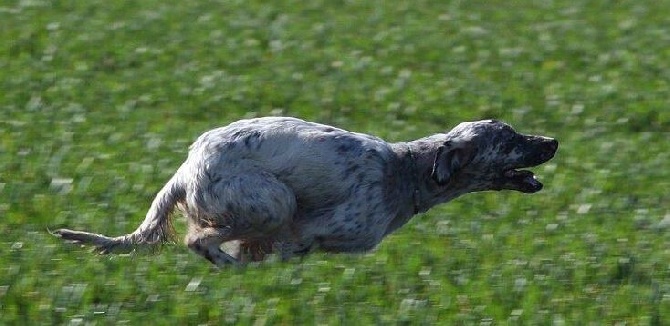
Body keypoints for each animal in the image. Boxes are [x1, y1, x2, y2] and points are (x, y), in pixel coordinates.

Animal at [52, 118, 560, 266]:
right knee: (200, 241)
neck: (406, 172)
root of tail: (186, 169)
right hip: (274, 202)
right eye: (510, 138)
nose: (553, 142)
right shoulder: (299, 236)